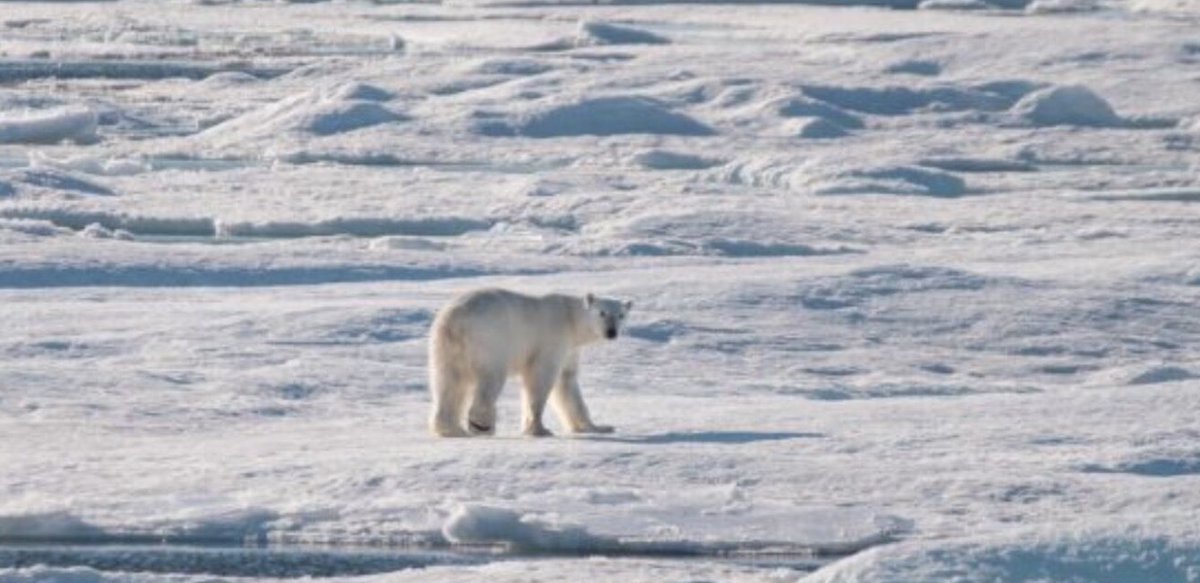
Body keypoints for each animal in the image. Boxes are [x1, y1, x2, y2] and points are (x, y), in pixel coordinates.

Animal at [429, 286, 633, 436]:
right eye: (602, 313)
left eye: (621, 315)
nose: (611, 332)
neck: (571, 320)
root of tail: (455, 320)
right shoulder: (552, 339)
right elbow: (541, 378)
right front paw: (539, 429)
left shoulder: (570, 349)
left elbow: (567, 382)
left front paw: (599, 427)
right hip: (489, 340)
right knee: (490, 378)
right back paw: (483, 426)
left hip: (444, 347)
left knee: (448, 382)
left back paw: (452, 429)